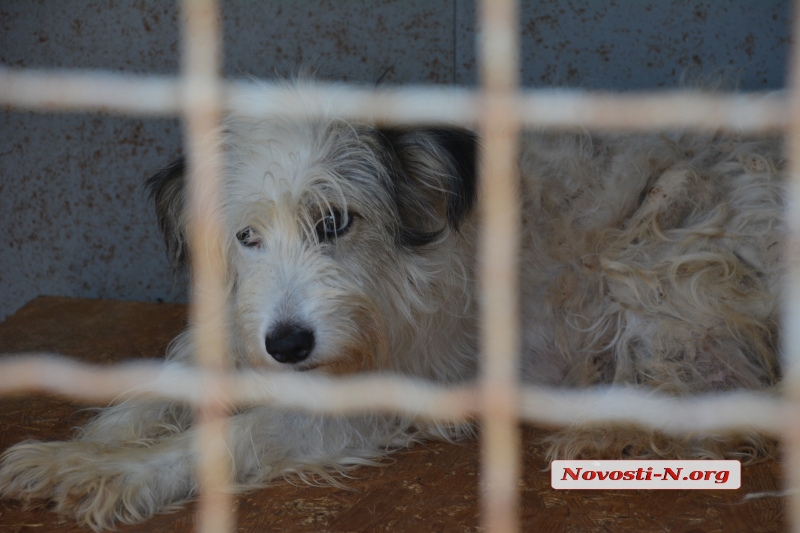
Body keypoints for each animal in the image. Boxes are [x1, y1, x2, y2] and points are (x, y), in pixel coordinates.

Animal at [0, 81, 788, 528]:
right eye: (246, 237)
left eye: (335, 222)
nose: (288, 346)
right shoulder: (240, 324)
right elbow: (156, 389)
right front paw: (83, 447)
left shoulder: (369, 392)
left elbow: (232, 435)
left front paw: (114, 472)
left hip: (662, 250)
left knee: (721, 388)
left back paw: (612, 431)